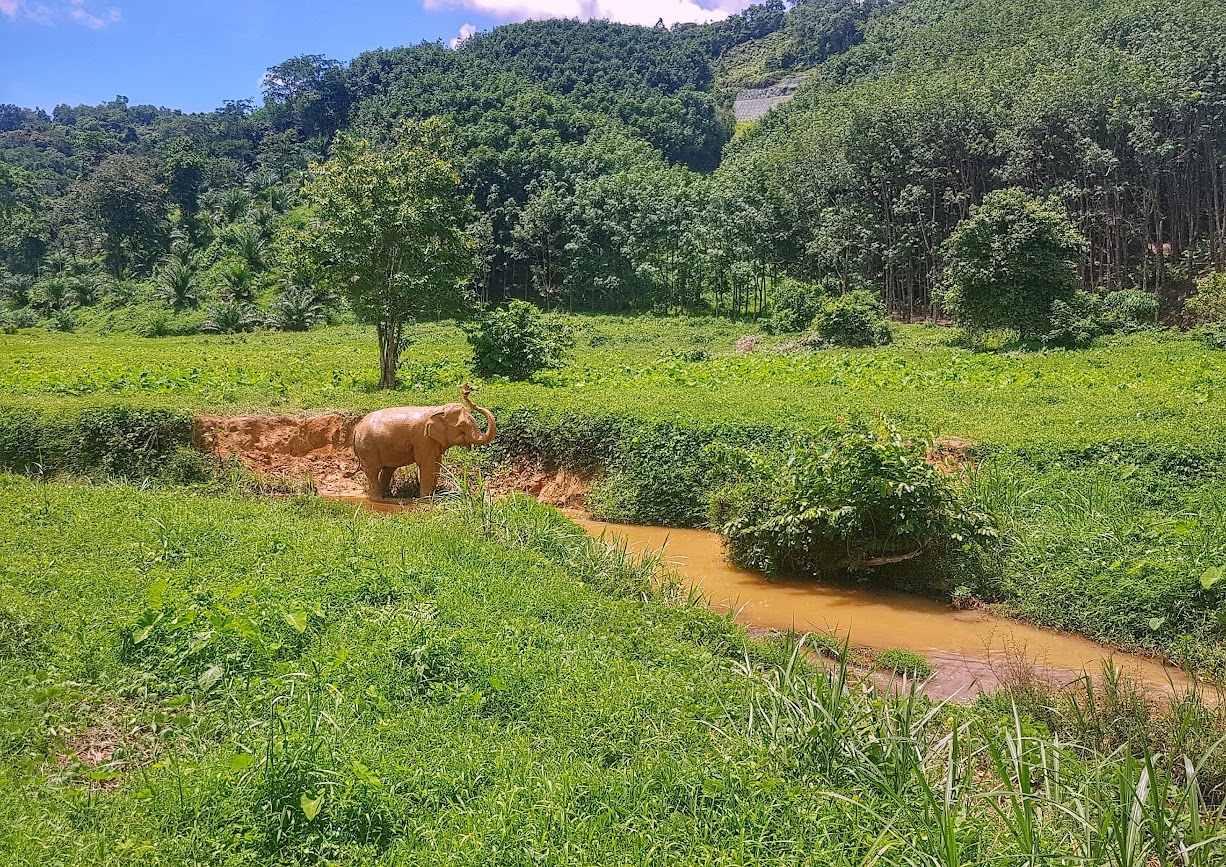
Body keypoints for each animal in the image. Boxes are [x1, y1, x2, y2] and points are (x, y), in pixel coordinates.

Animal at [350, 387, 492, 502]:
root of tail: (356, 428)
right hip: (367, 448)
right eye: (462, 425)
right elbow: (427, 464)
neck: (439, 409)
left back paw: (388, 497)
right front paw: (426, 500)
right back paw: (378, 500)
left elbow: (436, 464)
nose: (467, 390)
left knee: (387, 469)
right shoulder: (423, 439)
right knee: (373, 471)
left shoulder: (433, 441)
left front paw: (434, 496)